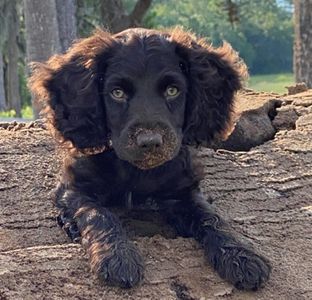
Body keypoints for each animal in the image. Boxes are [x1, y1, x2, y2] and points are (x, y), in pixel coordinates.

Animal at [29, 27, 270, 290]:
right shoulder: (74, 187)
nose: (150, 141)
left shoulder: (184, 190)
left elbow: (211, 217)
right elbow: (98, 214)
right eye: (117, 93)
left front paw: (241, 255)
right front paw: (118, 257)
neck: (138, 172)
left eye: (172, 90)